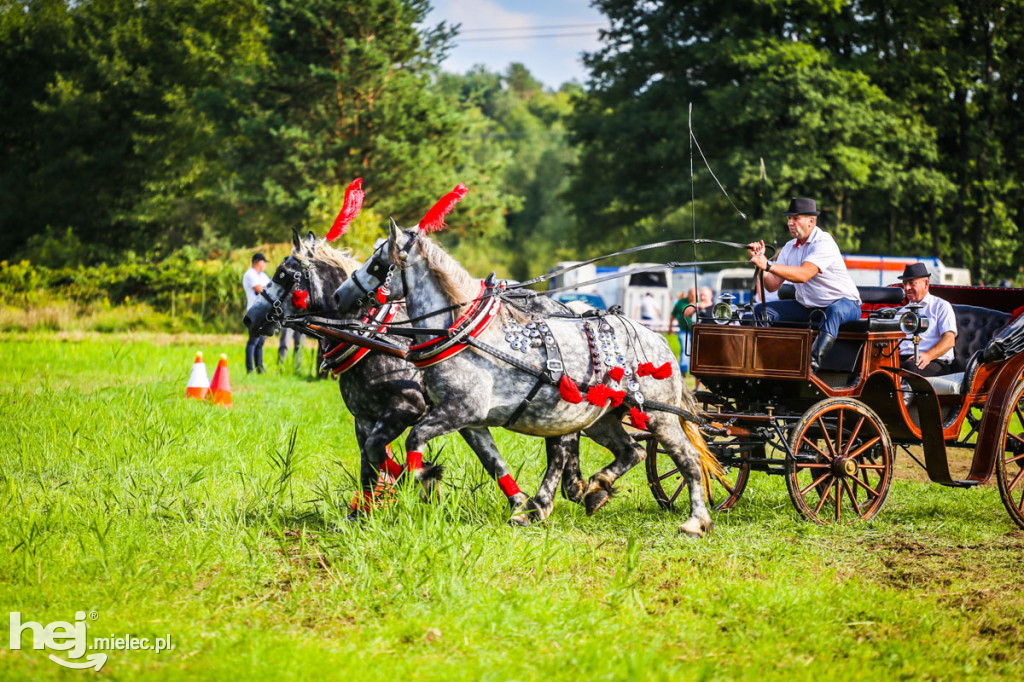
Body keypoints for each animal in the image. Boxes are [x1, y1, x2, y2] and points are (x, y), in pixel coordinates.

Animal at [237, 228, 577, 520]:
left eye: (283, 275)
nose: (250, 318)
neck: (373, 336)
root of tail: (566, 308)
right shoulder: (365, 418)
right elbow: (368, 463)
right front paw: (363, 514)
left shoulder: (406, 408)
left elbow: (378, 452)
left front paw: (424, 482)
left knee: (561, 444)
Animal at [333, 220, 712, 532]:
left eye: (377, 263)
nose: (340, 295)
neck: (463, 333)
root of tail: (657, 340)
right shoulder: (470, 421)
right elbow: (492, 461)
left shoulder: (458, 411)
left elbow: (414, 439)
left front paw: (425, 479)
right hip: (600, 418)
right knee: (631, 451)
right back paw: (590, 489)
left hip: (659, 416)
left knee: (687, 459)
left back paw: (696, 521)